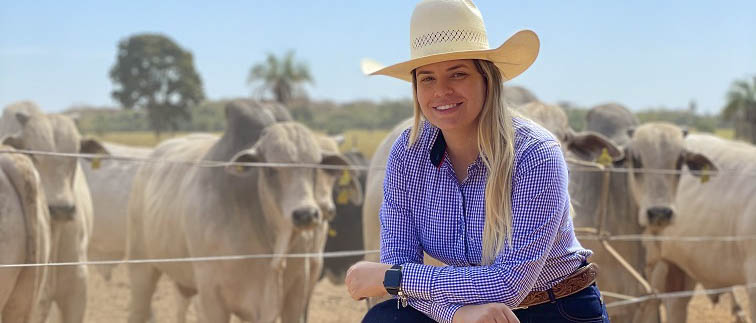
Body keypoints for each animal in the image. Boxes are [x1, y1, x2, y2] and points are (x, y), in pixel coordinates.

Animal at [125, 100, 362, 322]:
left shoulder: (298, 292)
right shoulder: (211, 297)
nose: (306, 214)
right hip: (141, 268)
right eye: (270, 170)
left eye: (315, 167)